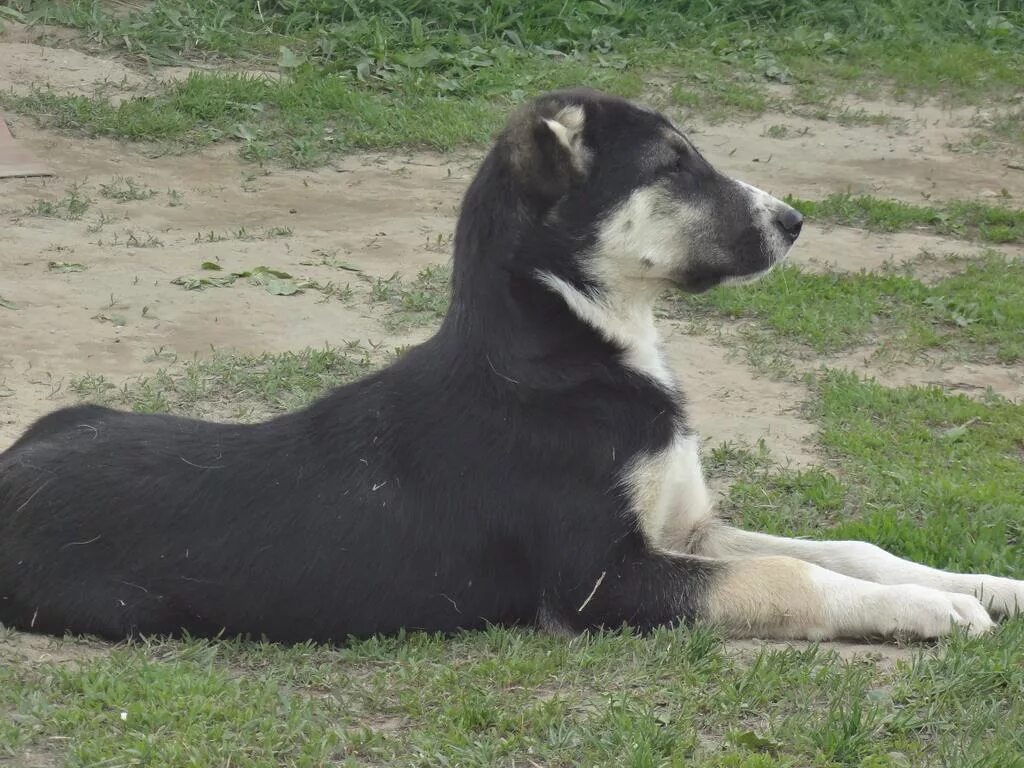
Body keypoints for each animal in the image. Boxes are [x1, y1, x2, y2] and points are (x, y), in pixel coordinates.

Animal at [2, 88, 1024, 643]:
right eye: (674, 166)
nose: (795, 221)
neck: (566, 353)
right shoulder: (605, 580)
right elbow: (792, 580)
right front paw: (933, 613)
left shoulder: (683, 531)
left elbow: (849, 551)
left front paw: (986, 586)